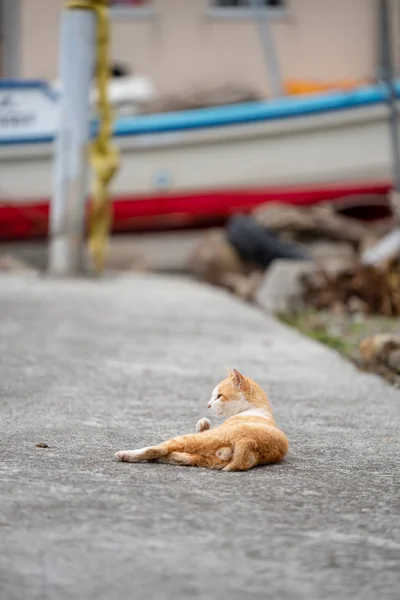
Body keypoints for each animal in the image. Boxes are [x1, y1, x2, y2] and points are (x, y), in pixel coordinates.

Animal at [114, 368, 290, 472]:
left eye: (219, 396)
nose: (208, 405)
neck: (257, 409)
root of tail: (249, 442)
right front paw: (203, 423)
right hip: (209, 460)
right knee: (180, 457)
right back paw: (158, 459)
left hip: (192, 440)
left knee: (158, 449)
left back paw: (125, 455)